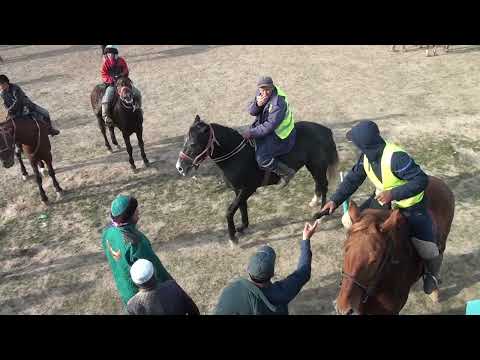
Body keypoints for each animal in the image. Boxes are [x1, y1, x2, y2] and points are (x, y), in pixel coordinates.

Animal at [175, 115, 338, 245]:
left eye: (193, 144)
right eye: (185, 140)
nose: (180, 167)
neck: (237, 156)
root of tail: (325, 130)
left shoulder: (247, 189)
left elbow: (230, 211)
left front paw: (233, 238)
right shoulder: (239, 190)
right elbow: (242, 207)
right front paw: (243, 227)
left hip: (317, 165)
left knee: (324, 185)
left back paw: (321, 215)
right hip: (312, 165)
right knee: (318, 183)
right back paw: (314, 201)